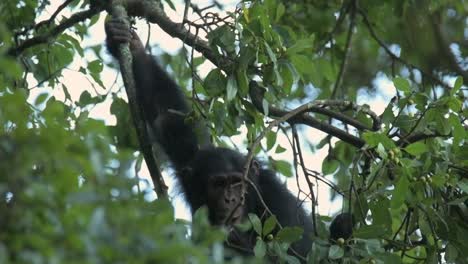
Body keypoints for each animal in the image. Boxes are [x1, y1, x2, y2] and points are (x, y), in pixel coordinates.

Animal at [103, 17, 352, 258]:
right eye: (219, 184)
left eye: (237, 183)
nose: (231, 200)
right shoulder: (188, 154)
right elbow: (167, 115)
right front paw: (130, 44)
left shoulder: (281, 208)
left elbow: (295, 252)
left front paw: (234, 239)